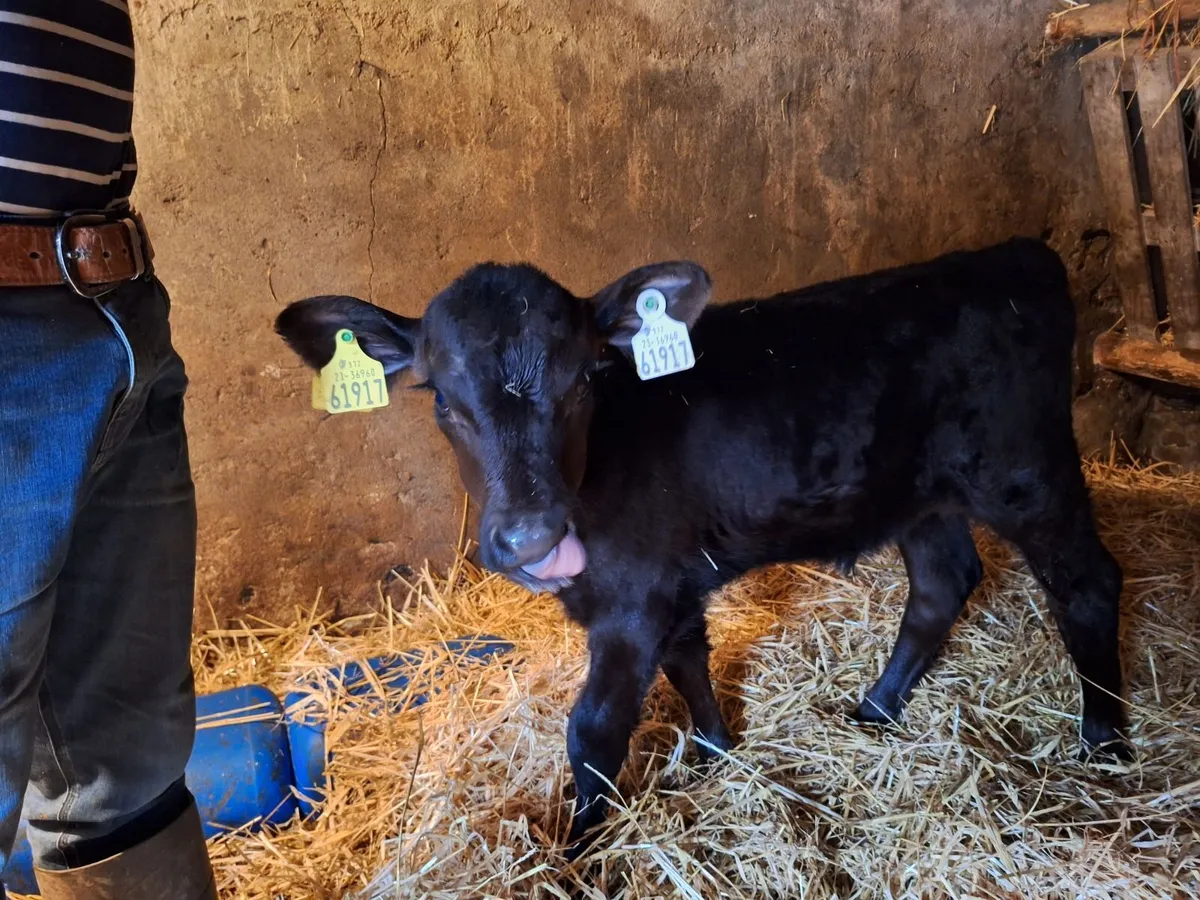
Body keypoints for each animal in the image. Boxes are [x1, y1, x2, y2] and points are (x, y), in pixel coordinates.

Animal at [275, 237, 1127, 858]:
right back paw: (876, 708)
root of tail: (1018, 253)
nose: (533, 538)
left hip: (1024, 469)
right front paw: (716, 752)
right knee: (943, 582)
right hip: (919, 493)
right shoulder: (668, 579)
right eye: (443, 399)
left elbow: (593, 729)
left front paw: (577, 851)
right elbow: (689, 662)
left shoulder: (631, 600)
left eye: (583, 380)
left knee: (1086, 582)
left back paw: (1106, 745)